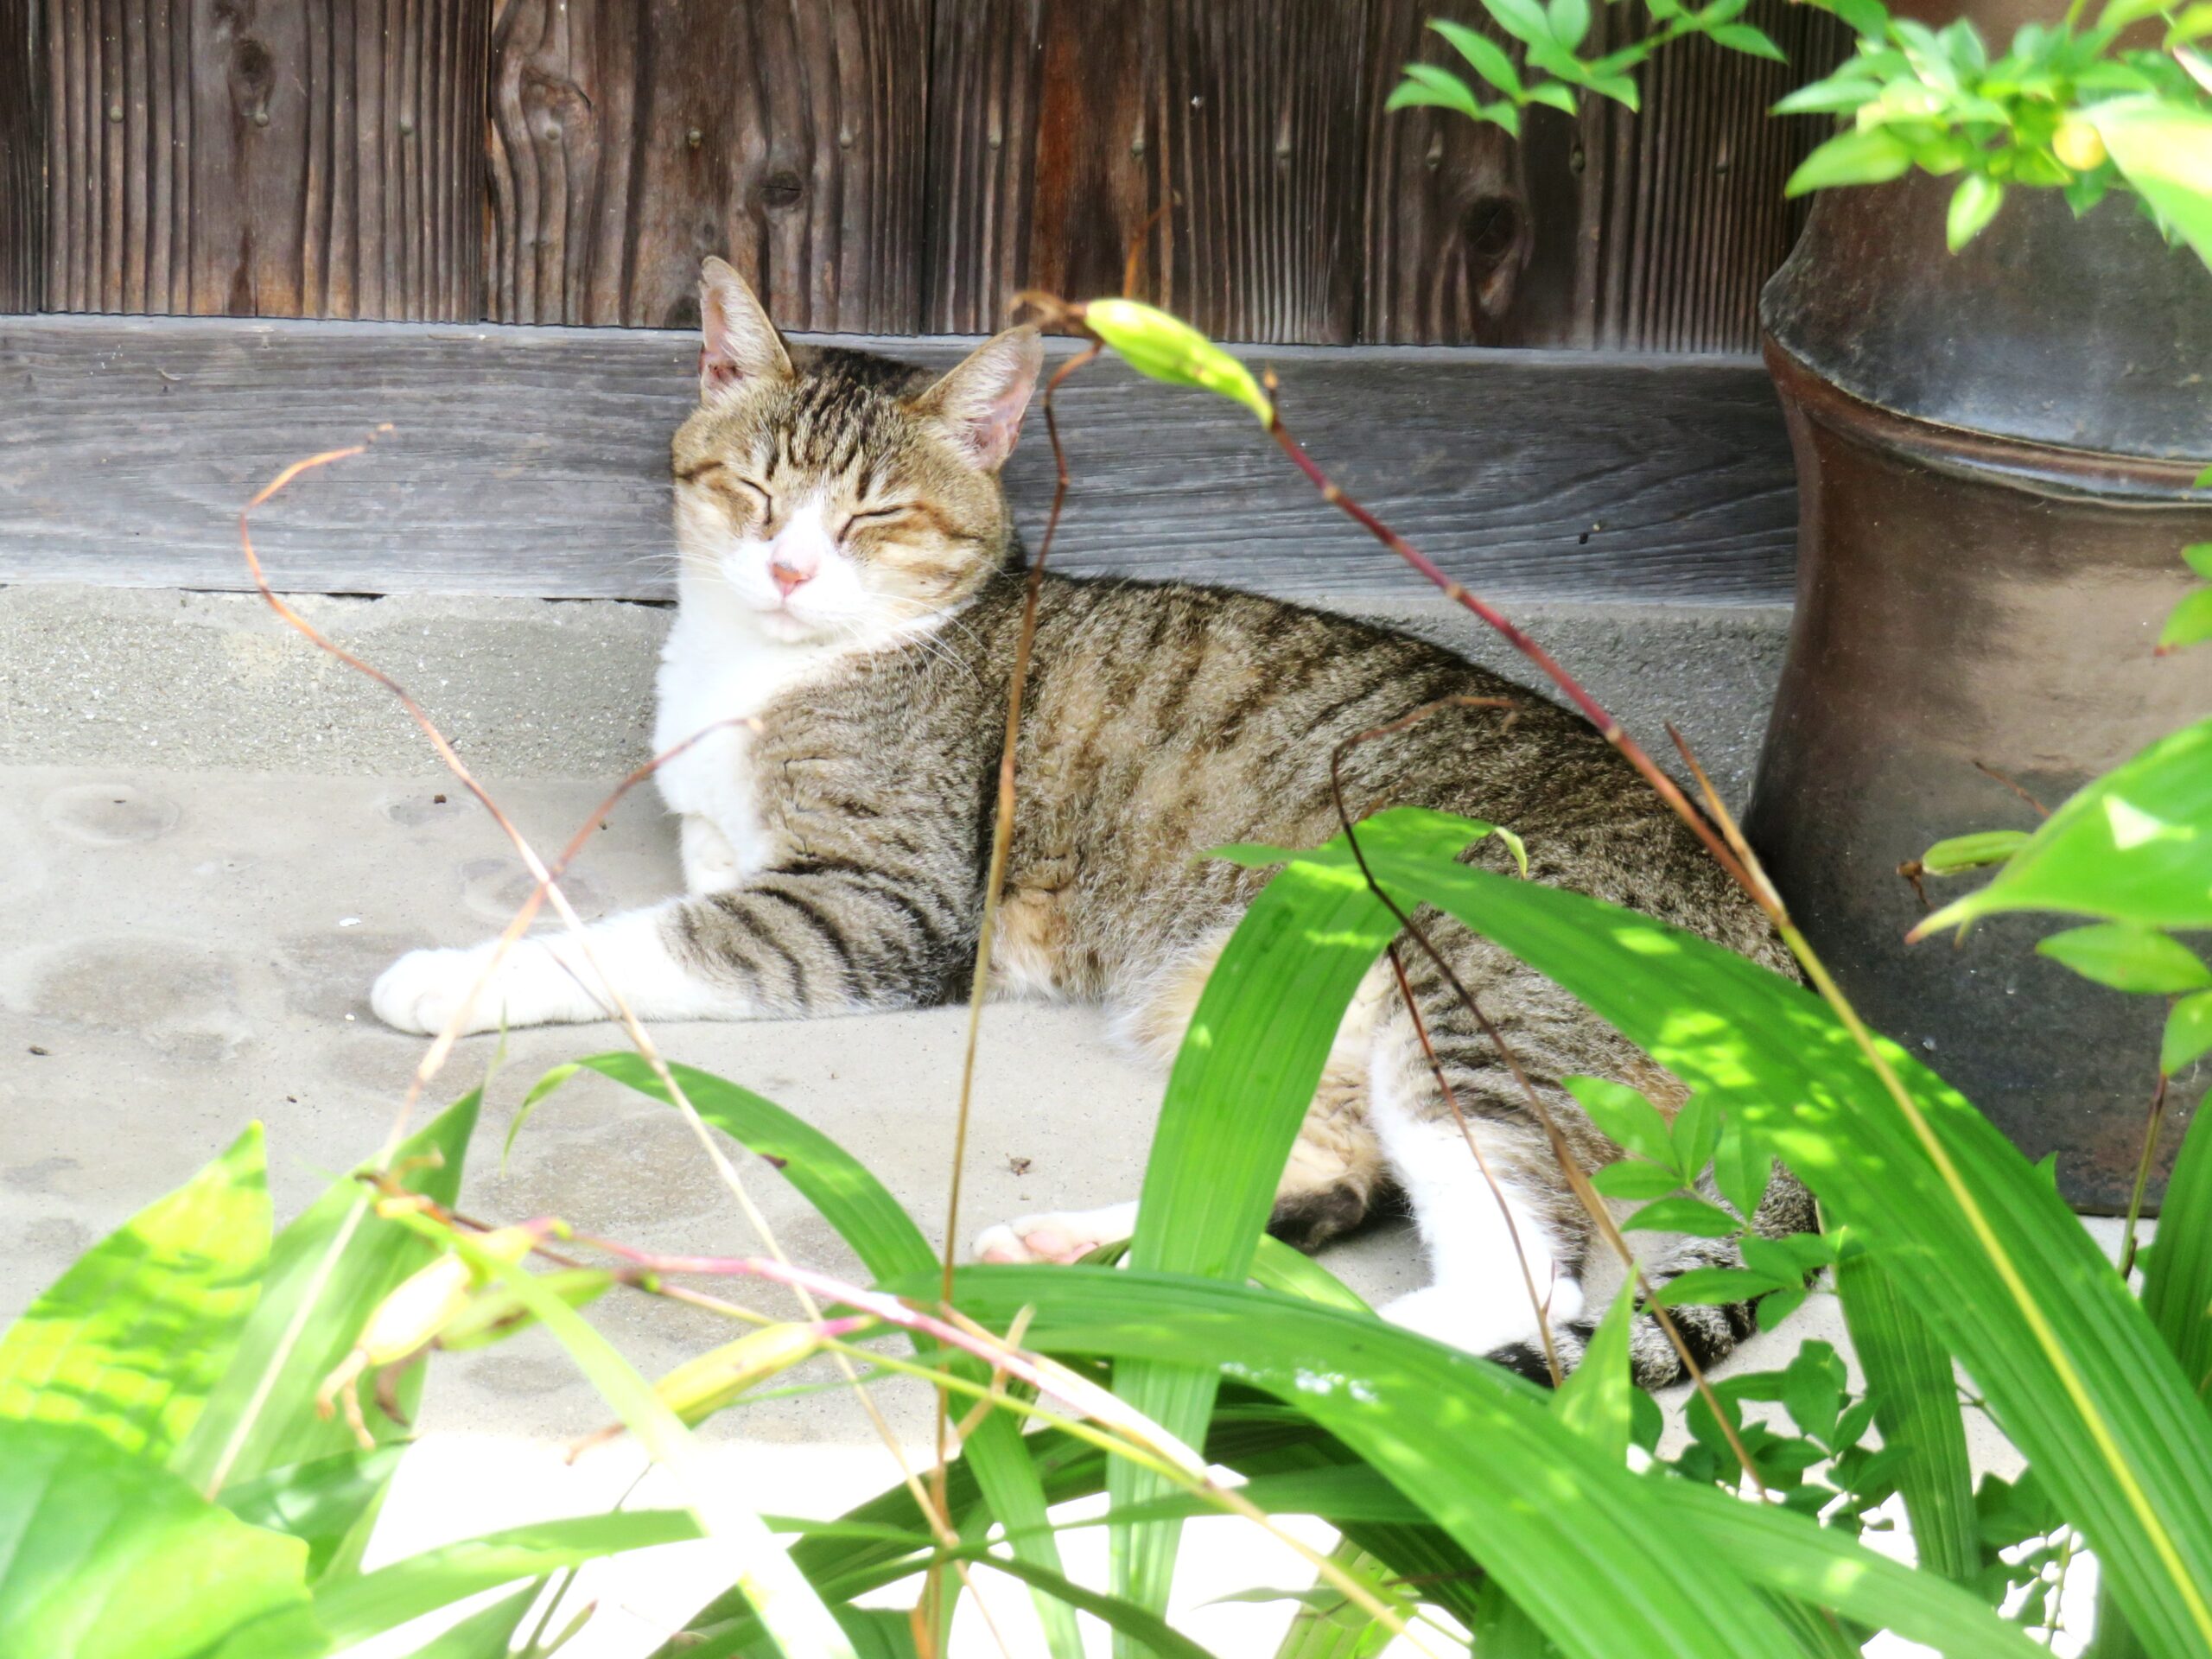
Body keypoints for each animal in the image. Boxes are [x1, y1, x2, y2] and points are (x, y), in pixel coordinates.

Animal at [366, 253, 1814, 1380]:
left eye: (875, 516)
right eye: (757, 491)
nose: (786, 568)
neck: (768, 668)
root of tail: (1790, 972)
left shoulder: (878, 909)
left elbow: (638, 941)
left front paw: (449, 977)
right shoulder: (745, 852)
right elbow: (689, 877)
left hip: (1463, 1000)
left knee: (1533, 1286)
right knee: (1330, 1185)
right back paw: (1099, 1267)